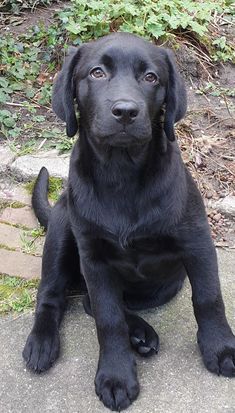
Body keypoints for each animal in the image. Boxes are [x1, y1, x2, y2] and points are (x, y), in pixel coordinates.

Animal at [22, 32, 235, 408]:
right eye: (96, 73)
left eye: (150, 77)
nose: (125, 111)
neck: (121, 171)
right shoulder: (95, 260)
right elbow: (108, 321)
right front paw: (116, 376)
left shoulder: (196, 241)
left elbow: (209, 299)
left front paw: (220, 348)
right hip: (62, 228)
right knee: (54, 295)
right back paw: (43, 342)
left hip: (163, 287)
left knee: (92, 301)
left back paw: (141, 332)